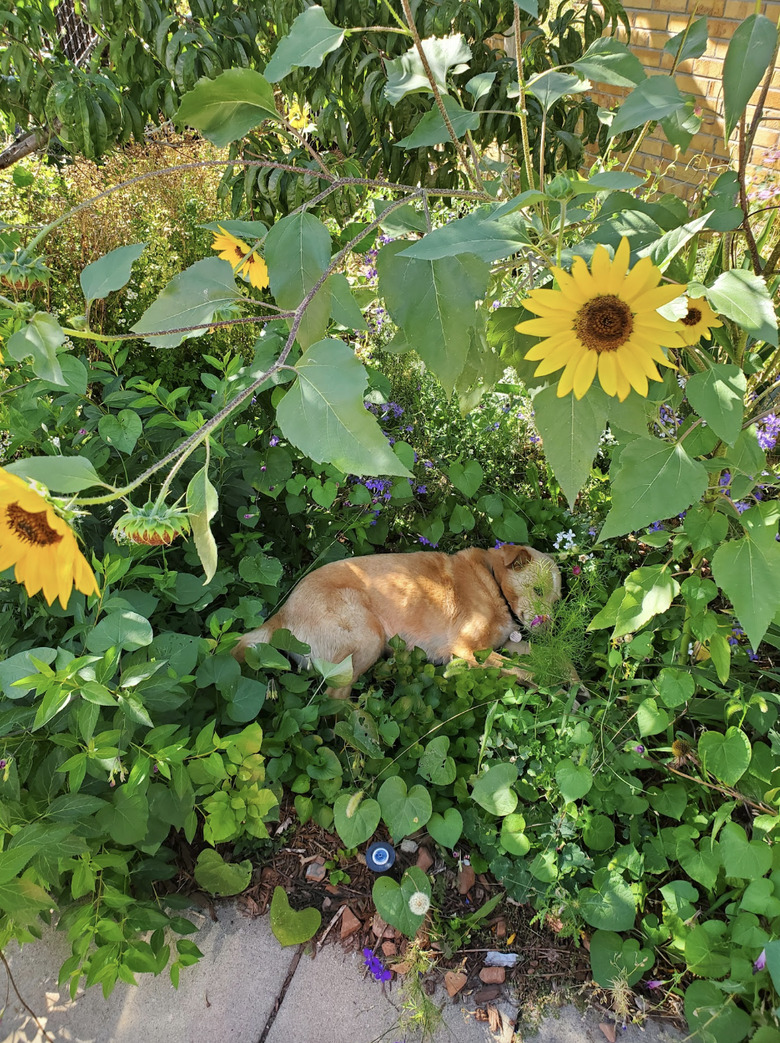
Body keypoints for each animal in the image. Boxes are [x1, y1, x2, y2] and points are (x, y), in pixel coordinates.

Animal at [231, 542, 558, 696]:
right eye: (538, 590)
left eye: (557, 601)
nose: (552, 629)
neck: (491, 581)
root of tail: (282, 615)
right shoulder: (467, 651)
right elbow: (523, 670)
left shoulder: (505, 643)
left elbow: (542, 659)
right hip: (368, 638)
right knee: (333, 700)